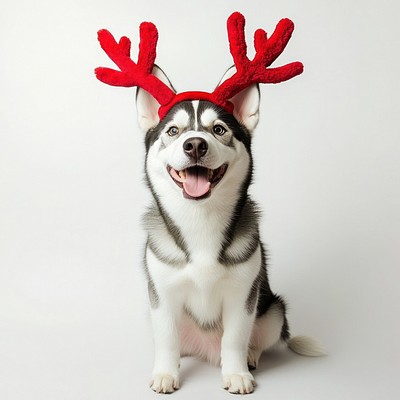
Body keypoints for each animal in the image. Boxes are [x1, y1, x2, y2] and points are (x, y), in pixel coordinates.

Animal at [138, 66, 322, 394]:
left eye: (219, 129)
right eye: (173, 131)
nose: (195, 144)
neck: (200, 220)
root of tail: (205, 349)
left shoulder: (243, 295)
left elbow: (235, 338)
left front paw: (236, 373)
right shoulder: (161, 294)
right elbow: (167, 339)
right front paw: (166, 373)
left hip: (274, 311)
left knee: (258, 337)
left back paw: (250, 356)